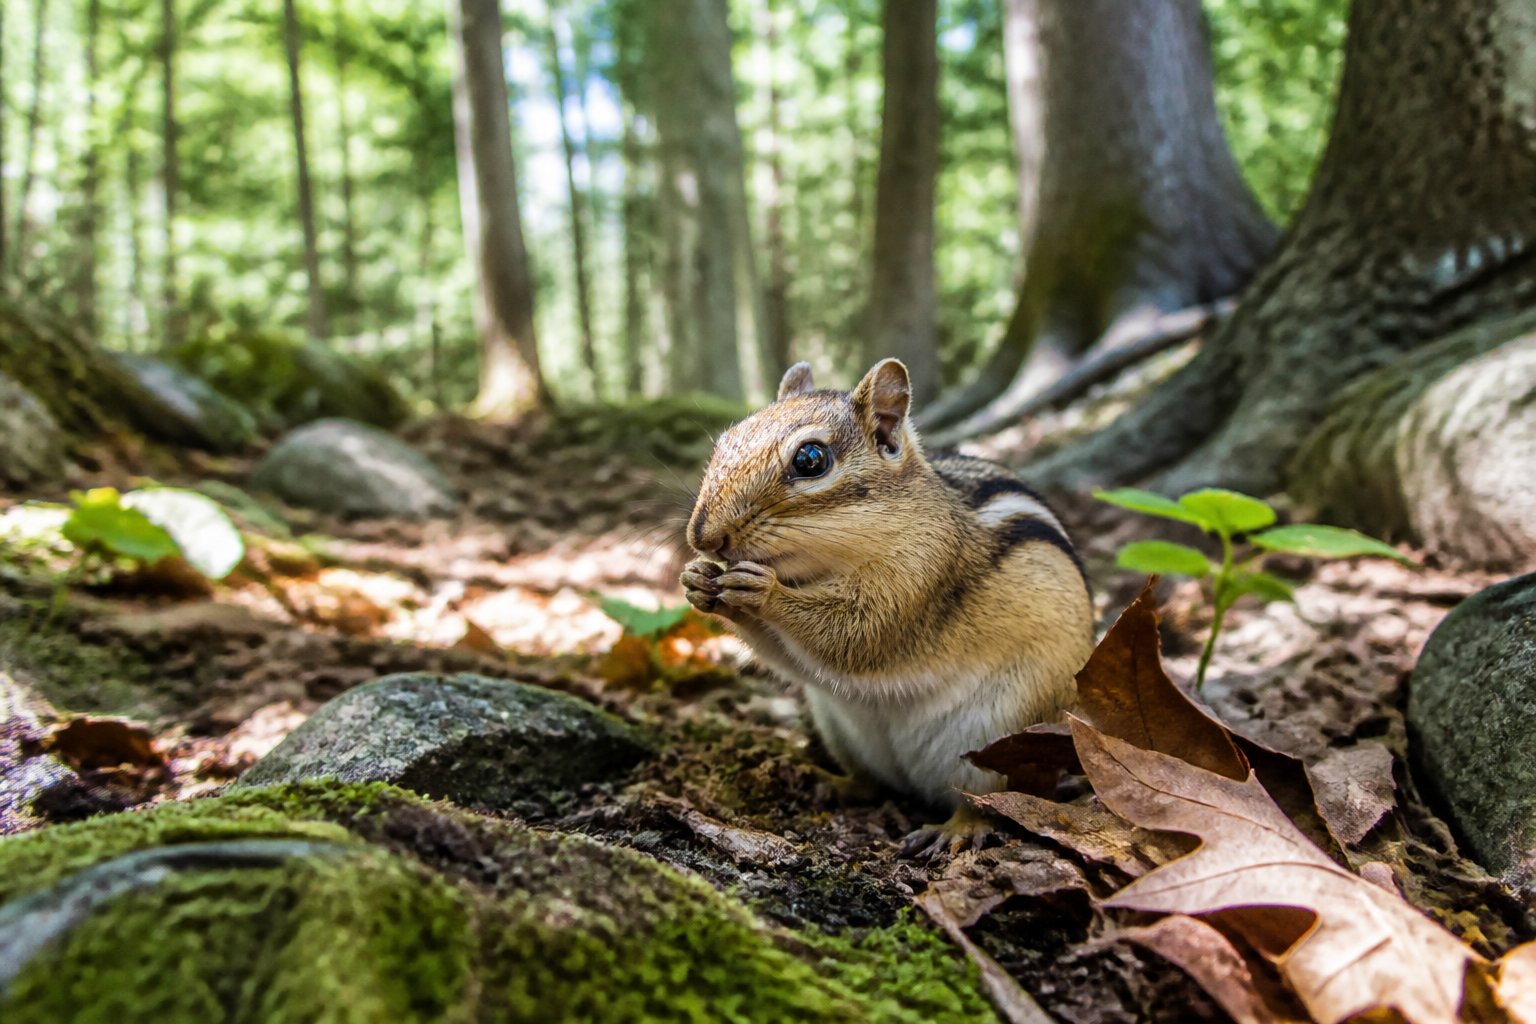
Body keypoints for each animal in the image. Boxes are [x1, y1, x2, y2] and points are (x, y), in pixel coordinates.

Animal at [681, 358, 1094, 857]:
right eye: (727, 439)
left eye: (811, 459)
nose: (703, 537)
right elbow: (792, 659)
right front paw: (697, 580)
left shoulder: (920, 577)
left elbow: (856, 638)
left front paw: (765, 592)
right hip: (842, 731)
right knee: (870, 784)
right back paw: (827, 781)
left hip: (998, 739)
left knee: (986, 801)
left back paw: (955, 828)